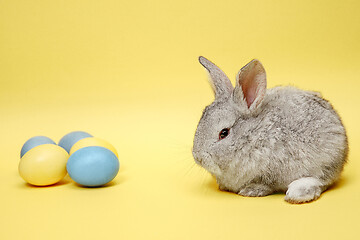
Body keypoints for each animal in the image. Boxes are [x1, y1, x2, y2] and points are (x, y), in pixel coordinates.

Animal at [193, 56, 348, 204]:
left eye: (224, 133)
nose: (198, 157)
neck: (253, 136)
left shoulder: (273, 171)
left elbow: (266, 184)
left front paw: (251, 190)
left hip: (325, 161)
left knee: (321, 181)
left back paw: (297, 194)